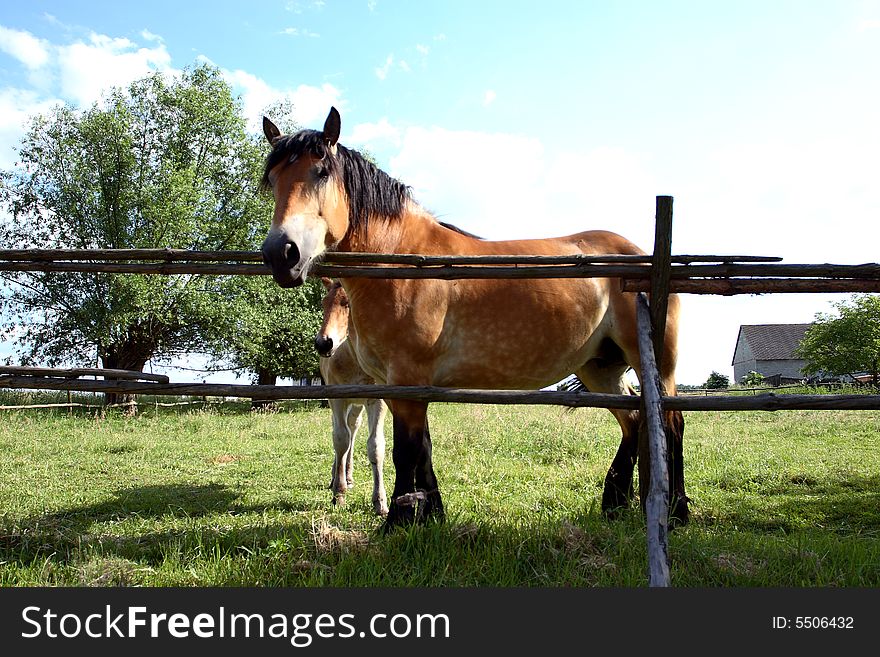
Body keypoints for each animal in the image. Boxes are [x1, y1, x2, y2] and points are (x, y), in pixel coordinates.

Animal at [314, 274, 386, 516]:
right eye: (323, 303)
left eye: (348, 303)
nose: (323, 343)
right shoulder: (337, 398)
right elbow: (340, 440)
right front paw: (339, 494)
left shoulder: (377, 400)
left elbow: (375, 446)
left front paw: (380, 502)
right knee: (341, 432)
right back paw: (335, 477)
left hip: (357, 404)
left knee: (353, 427)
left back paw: (348, 474)